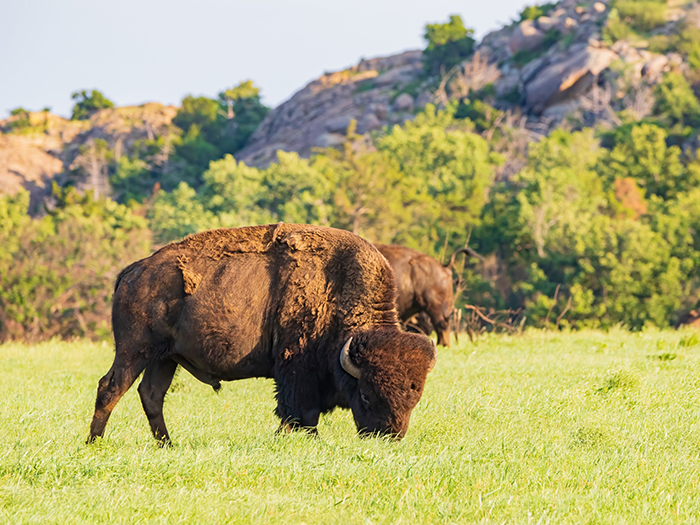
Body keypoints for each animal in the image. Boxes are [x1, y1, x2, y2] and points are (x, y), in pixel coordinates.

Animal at [87, 224, 436, 444]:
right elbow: (301, 411)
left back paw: (167, 445)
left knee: (151, 394)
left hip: (165, 358)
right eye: (365, 394)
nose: (388, 436)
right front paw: (306, 439)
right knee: (110, 387)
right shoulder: (296, 368)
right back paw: (95, 443)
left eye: (415, 396)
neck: (337, 288)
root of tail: (133, 271)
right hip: (134, 350)